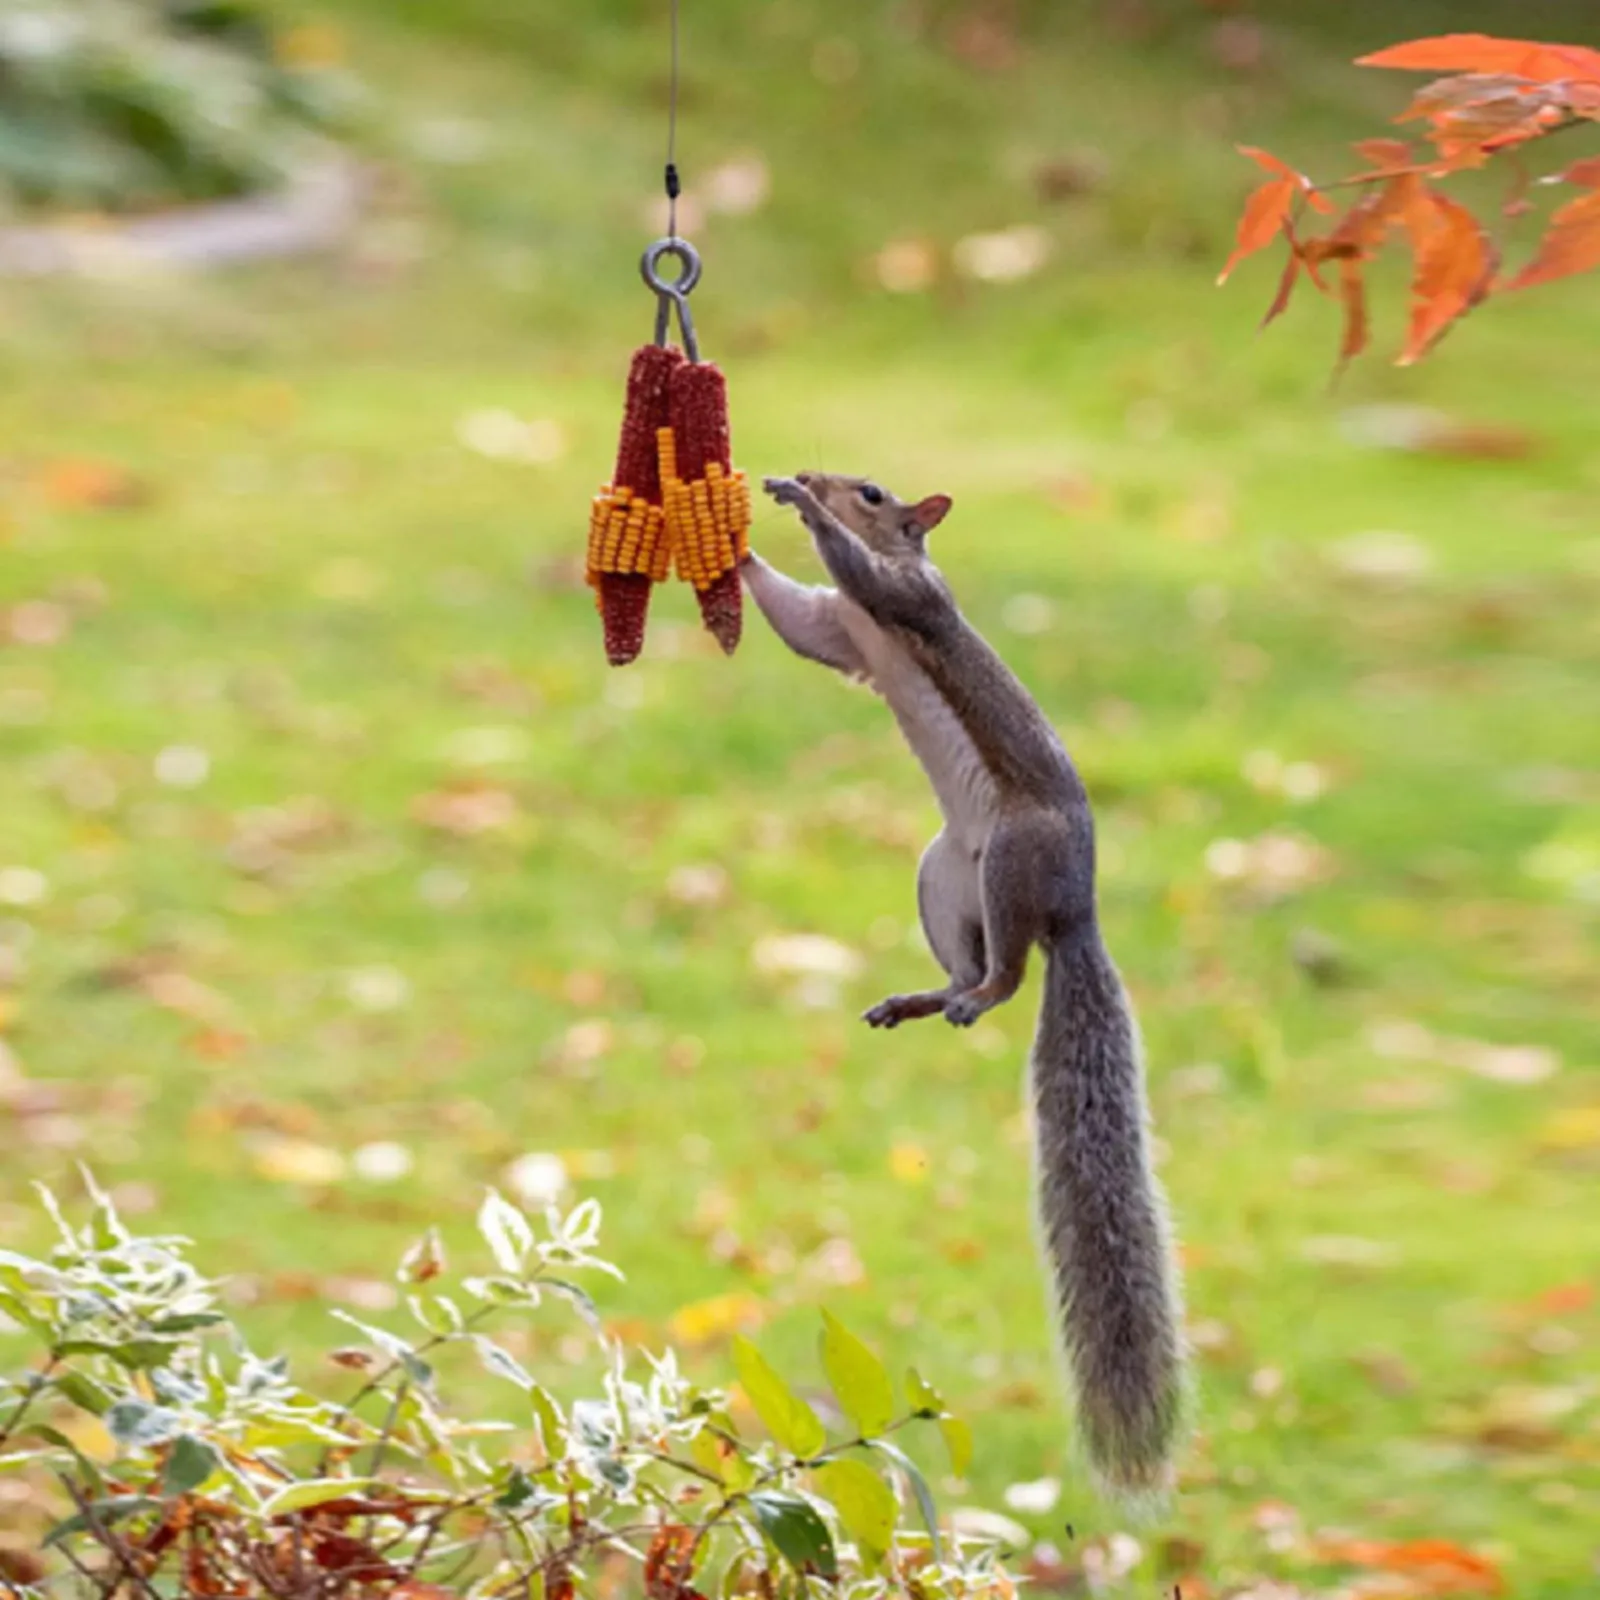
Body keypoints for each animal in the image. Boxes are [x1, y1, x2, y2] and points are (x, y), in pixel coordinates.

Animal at [743, 472, 1187, 1503]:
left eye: (873, 493)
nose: (824, 481)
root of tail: (1076, 911)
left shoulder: (912, 602)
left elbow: (866, 577)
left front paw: (802, 509)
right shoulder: (837, 630)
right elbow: (794, 616)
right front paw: (737, 530)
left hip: (1012, 862)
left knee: (1013, 974)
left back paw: (982, 996)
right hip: (943, 881)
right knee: (973, 964)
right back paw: (921, 999)